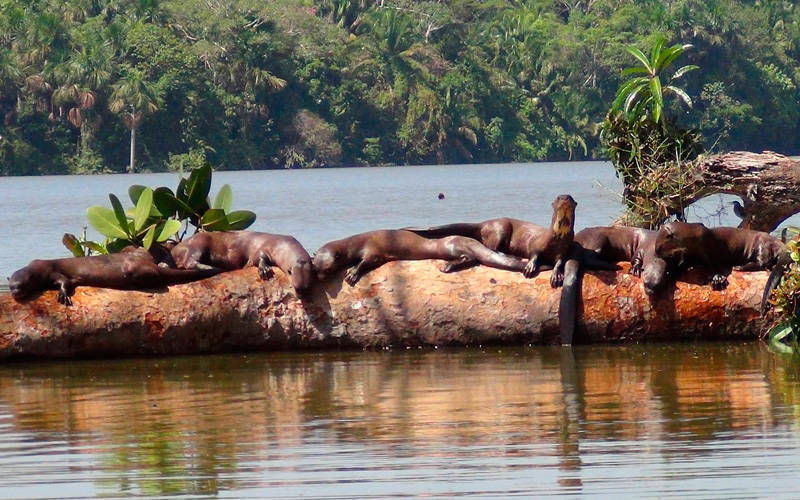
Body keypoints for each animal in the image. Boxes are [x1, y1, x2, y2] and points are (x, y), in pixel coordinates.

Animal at [7, 245, 223, 304]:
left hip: (134, 270)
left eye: (21, 285)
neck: (37, 268)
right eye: (11, 286)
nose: (16, 293)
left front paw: (64, 295)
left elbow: (64, 282)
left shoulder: (52, 271)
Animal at [170, 230, 314, 292]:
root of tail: (175, 248)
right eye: (290, 272)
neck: (280, 244)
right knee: (189, 262)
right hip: (198, 243)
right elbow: (258, 257)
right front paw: (265, 269)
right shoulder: (262, 248)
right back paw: (212, 268)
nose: (301, 290)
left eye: (308, 284)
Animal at [406, 195, 580, 290]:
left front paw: (556, 275)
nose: (565, 198)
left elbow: (560, 261)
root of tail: (484, 223)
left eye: (570, 197)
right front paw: (530, 266)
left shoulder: (564, 249)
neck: (557, 237)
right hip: (501, 228)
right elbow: (534, 254)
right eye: (558, 197)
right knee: (492, 247)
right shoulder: (537, 243)